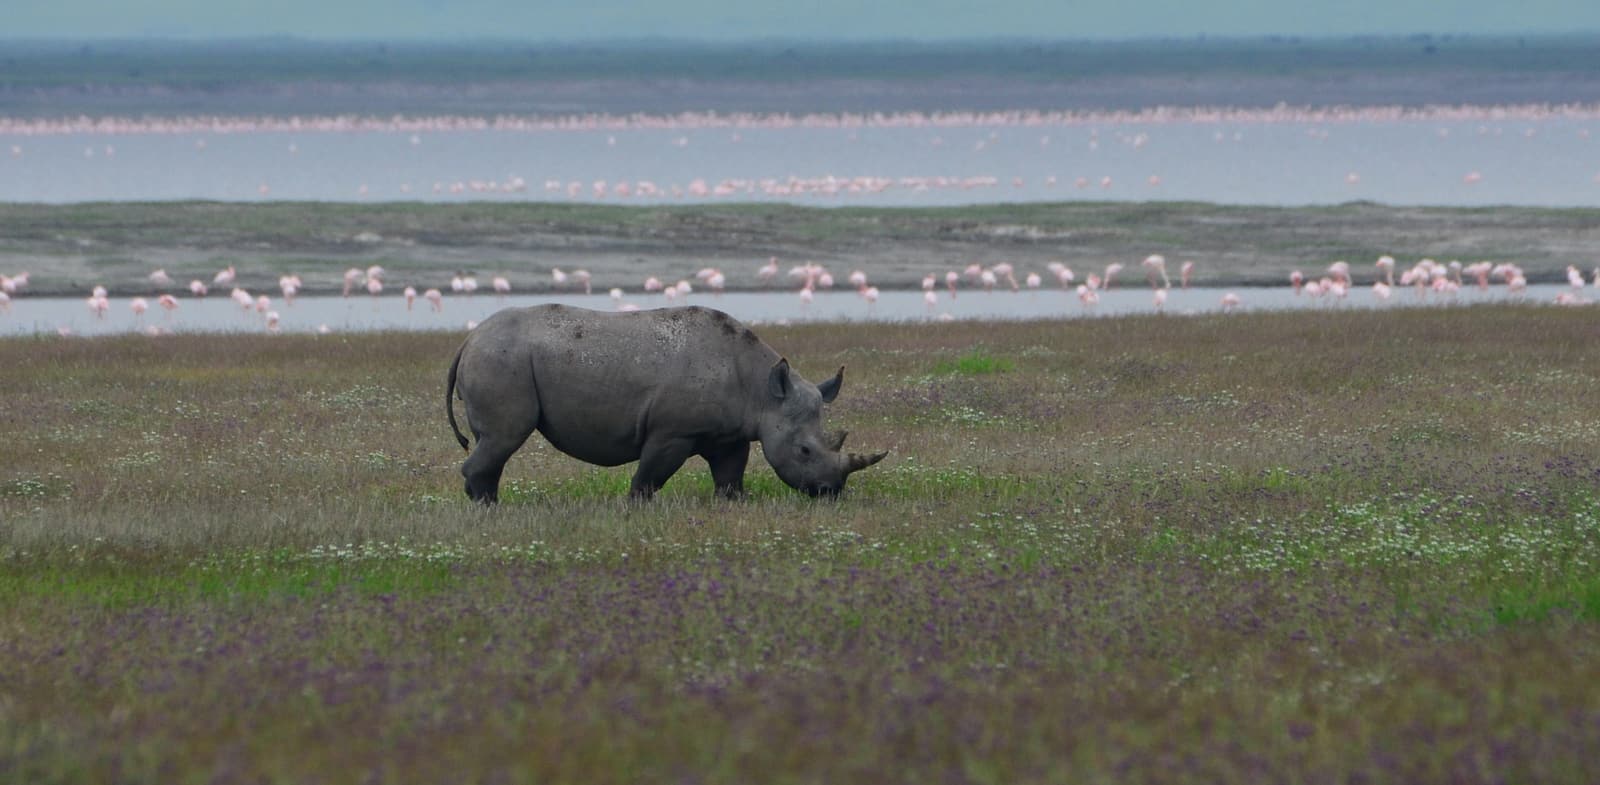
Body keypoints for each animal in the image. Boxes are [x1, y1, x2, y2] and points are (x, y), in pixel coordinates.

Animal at [445, 304, 886, 503]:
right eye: (805, 450)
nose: (831, 491)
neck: (764, 393)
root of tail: (468, 339)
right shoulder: (673, 430)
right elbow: (650, 475)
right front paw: (635, 507)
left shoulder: (730, 433)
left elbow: (730, 473)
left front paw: (734, 504)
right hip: (501, 360)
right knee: (504, 438)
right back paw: (489, 509)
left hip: (499, 357)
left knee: (493, 442)